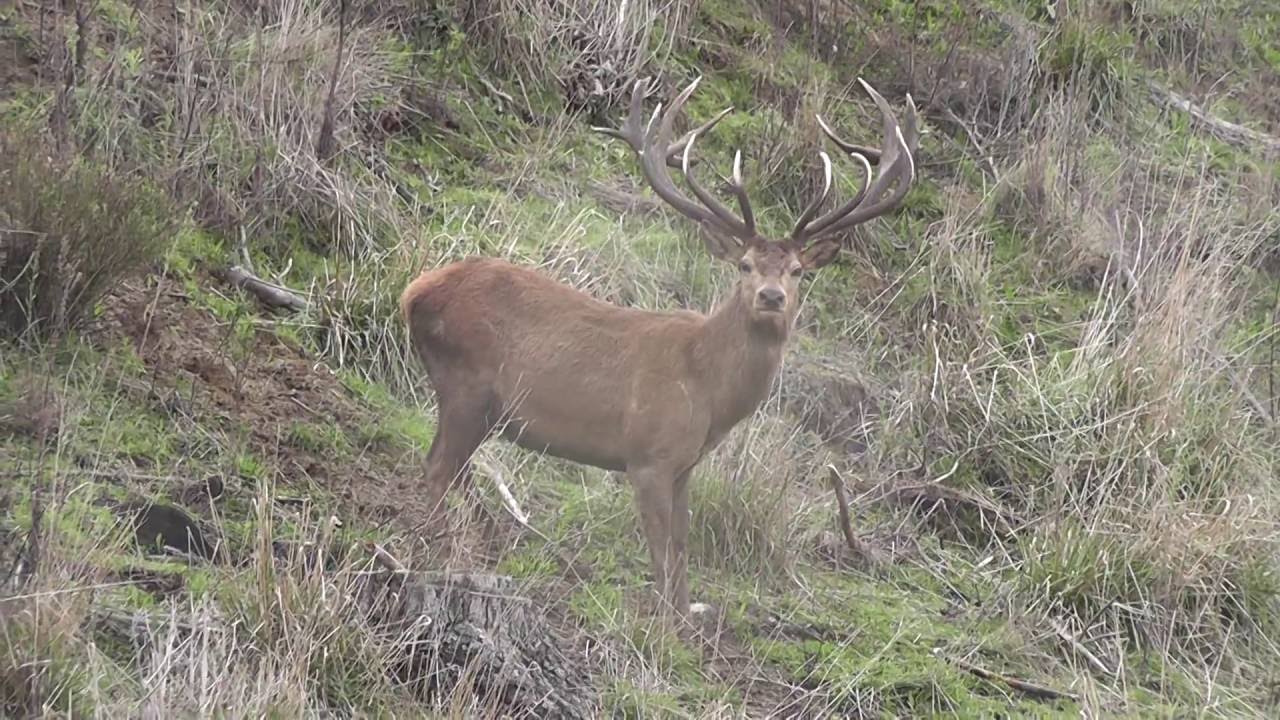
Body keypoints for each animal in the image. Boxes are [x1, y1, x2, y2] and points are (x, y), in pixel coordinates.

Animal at [400, 75, 918, 620]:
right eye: (745, 265)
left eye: (797, 270)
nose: (772, 297)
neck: (708, 390)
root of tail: (414, 292)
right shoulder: (647, 455)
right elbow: (660, 549)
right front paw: (665, 624)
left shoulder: (685, 465)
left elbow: (684, 544)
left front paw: (687, 615)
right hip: (466, 384)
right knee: (437, 467)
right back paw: (442, 553)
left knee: (457, 470)